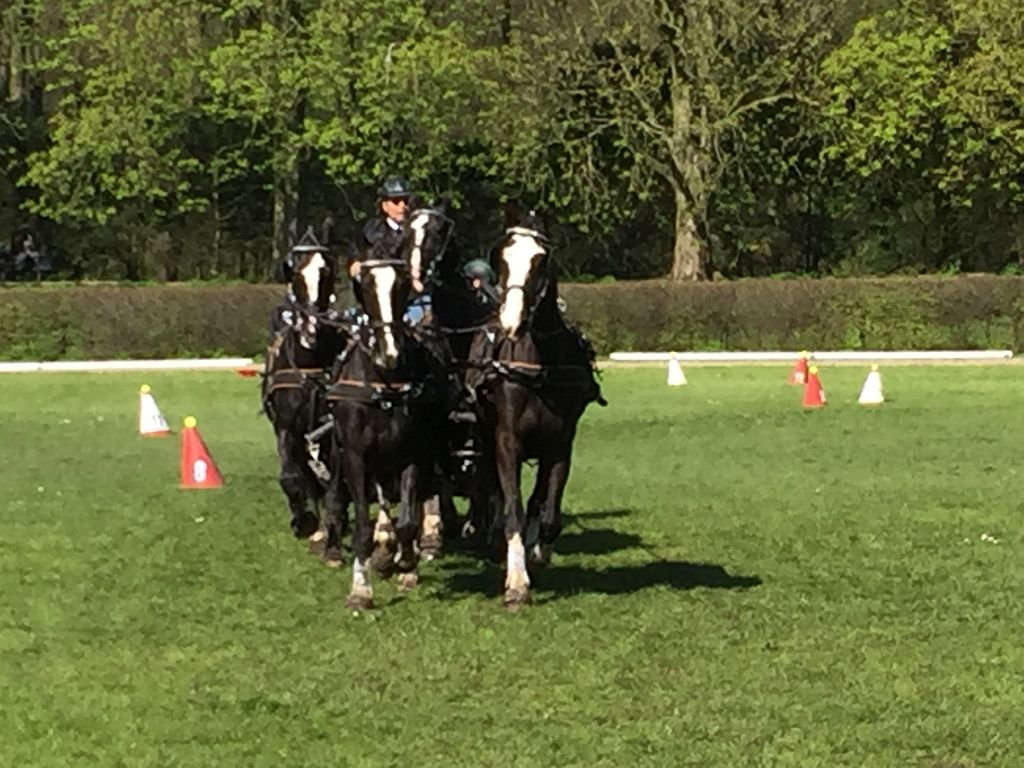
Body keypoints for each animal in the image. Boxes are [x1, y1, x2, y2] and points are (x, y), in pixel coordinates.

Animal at [262, 247, 350, 565]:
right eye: (297, 273)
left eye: (327, 272)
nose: (312, 328)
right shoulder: (287, 429)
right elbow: (291, 477)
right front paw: (305, 522)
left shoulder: (335, 434)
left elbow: (336, 491)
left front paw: (333, 546)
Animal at [327, 237, 448, 610]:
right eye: (364, 285)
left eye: (402, 284)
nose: (390, 353)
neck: (385, 384)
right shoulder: (354, 455)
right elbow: (364, 527)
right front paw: (360, 590)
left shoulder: (414, 453)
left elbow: (409, 520)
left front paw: (404, 564)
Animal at [468, 207, 602, 610]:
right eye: (502, 257)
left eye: (541, 259)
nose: (511, 322)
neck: (541, 365)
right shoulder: (506, 440)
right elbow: (511, 506)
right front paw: (516, 582)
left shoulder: (560, 443)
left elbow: (547, 510)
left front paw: (537, 553)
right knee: (495, 491)